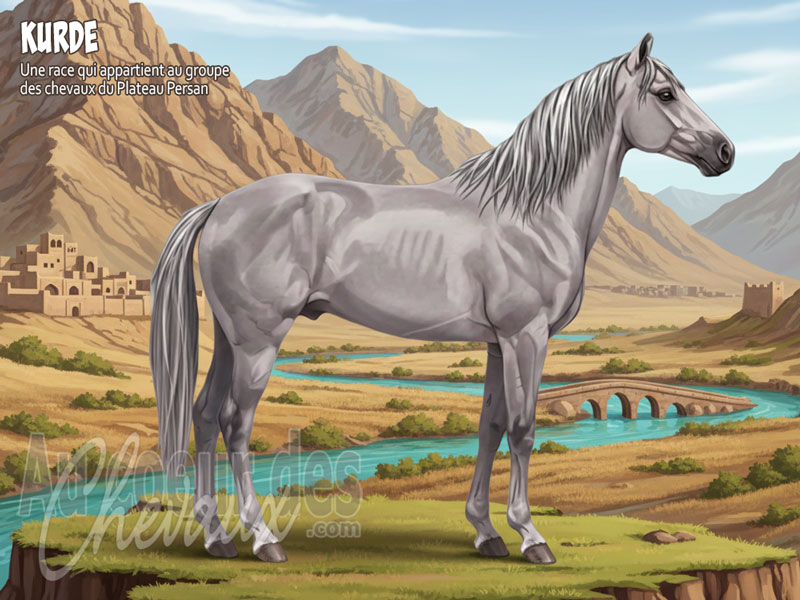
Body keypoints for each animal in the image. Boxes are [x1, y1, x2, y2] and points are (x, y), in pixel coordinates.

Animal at [150, 33, 733, 565]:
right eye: (664, 93)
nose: (724, 151)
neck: (532, 212)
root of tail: (221, 204)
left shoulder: (499, 344)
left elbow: (490, 427)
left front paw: (486, 532)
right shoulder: (526, 337)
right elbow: (523, 431)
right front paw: (531, 537)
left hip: (230, 339)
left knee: (204, 416)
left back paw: (217, 538)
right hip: (259, 340)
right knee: (235, 423)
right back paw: (263, 539)